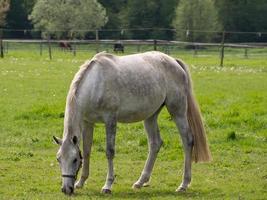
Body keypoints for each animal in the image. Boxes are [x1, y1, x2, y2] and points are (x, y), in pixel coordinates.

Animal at [52, 50, 211, 195]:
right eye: (59, 159)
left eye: (74, 160)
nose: (66, 189)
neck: (95, 83)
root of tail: (174, 62)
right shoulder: (87, 122)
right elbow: (86, 150)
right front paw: (81, 182)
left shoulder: (110, 120)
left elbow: (109, 152)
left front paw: (107, 185)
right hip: (150, 116)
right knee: (155, 144)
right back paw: (140, 182)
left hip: (177, 111)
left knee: (188, 140)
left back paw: (183, 184)